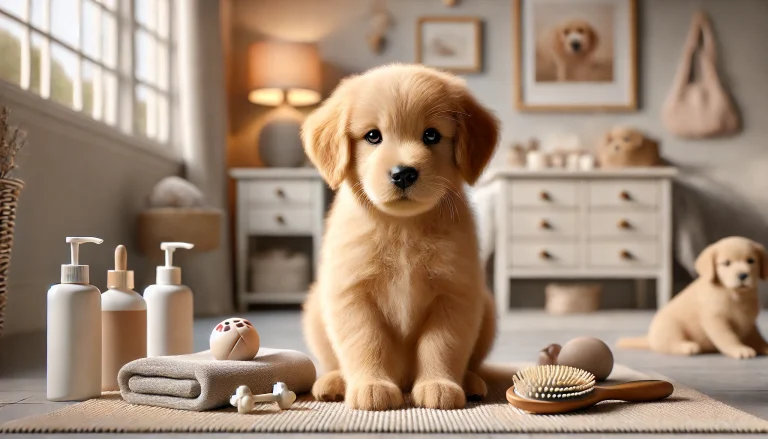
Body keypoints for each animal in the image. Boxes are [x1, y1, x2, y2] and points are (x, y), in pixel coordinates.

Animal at [296, 63, 500, 410]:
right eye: (372, 136)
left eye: (431, 135)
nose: (403, 173)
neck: (402, 229)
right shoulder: (351, 294)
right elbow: (366, 342)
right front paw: (371, 385)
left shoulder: (455, 293)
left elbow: (441, 345)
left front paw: (438, 384)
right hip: (315, 308)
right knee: (333, 360)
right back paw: (333, 381)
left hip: (485, 308)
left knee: (472, 361)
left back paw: (471, 381)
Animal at [616, 239, 768, 360]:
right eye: (726, 263)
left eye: (751, 261)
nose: (743, 275)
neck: (737, 295)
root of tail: (650, 338)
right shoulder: (715, 319)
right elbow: (727, 336)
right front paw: (739, 348)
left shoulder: (750, 322)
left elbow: (757, 337)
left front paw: (764, 346)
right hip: (671, 325)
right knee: (669, 344)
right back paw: (687, 347)